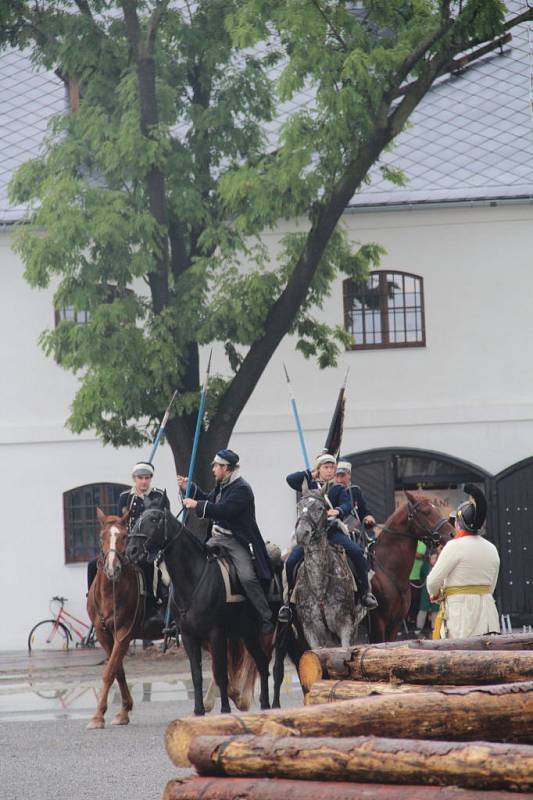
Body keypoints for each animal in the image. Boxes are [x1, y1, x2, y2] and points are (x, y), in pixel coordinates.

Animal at [85, 510, 162, 728]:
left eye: (124, 536)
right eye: (101, 537)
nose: (112, 569)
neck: (110, 591)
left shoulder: (124, 632)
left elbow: (109, 671)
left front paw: (98, 716)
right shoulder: (103, 634)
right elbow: (117, 670)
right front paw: (124, 710)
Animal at [125, 504, 270, 716]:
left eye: (154, 520)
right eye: (136, 520)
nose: (131, 550)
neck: (193, 578)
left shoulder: (216, 634)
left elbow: (220, 673)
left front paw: (225, 709)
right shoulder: (189, 637)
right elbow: (196, 675)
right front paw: (199, 710)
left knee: (266, 662)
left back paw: (270, 703)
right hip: (244, 634)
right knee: (261, 662)